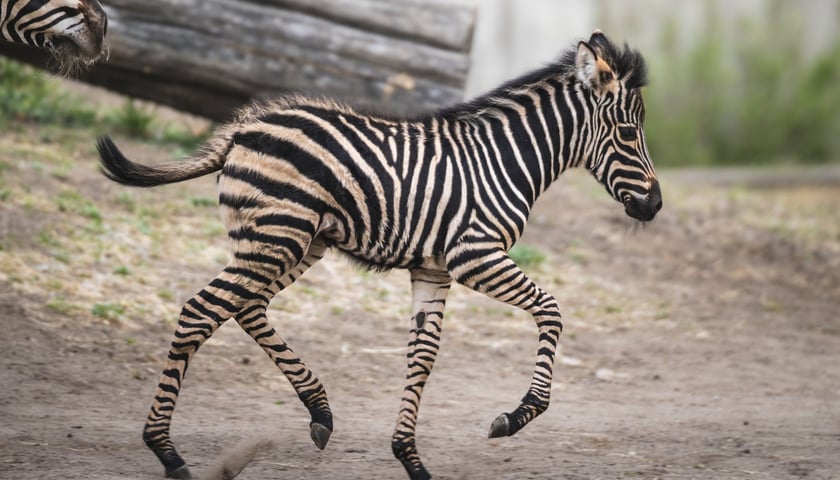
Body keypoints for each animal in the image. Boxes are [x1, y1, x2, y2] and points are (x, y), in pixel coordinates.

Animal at [97, 30, 661, 480]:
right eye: (628, 134)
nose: (654, 205)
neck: (506, 161)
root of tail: (244, 128)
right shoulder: (474, 256)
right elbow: (551, 309)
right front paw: (516, 416)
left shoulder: (433, 270)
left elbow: (423, 356)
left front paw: (410, 457)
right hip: (278, 237)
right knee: (201, 311)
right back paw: (167, 452)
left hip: (294, 242)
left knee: (245, 307)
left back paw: (320, 412)